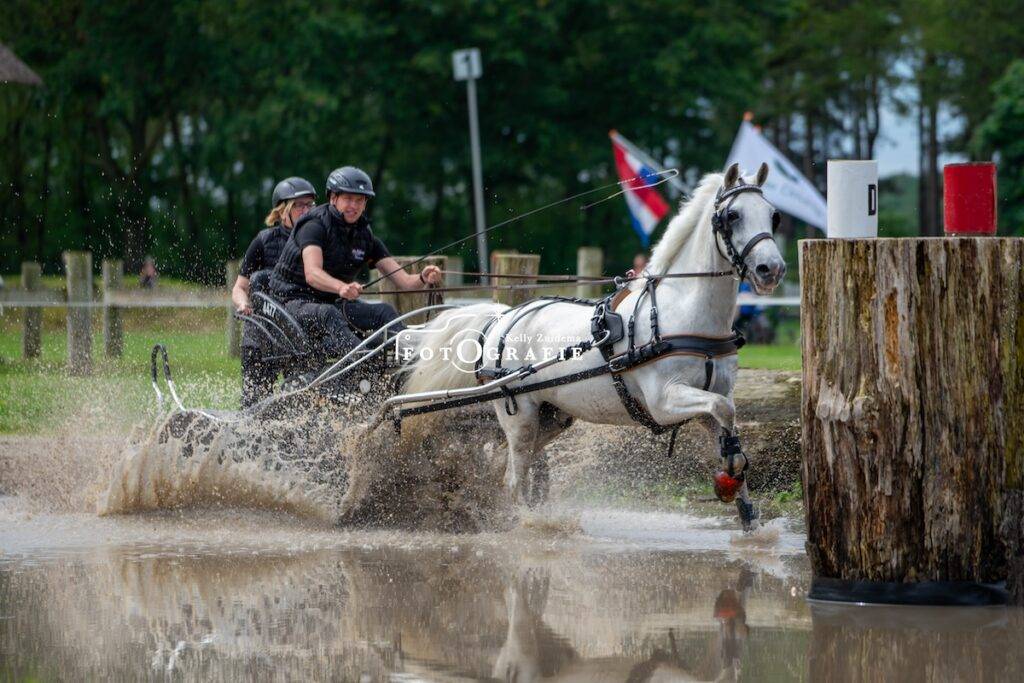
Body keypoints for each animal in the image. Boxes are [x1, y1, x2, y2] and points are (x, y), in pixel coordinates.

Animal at [399, 163, 786, 530]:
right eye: (733, 216)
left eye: (773, 215)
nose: (772, 269)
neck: (682, 312)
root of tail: (501, 318)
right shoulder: (664, 401)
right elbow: (724, 412)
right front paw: (730, 476)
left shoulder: (712, 396)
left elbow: (727, 422)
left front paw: (748, 516)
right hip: (519, 414)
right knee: (515, 479)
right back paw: (529, 524)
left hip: (551, 417)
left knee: (503, 465)